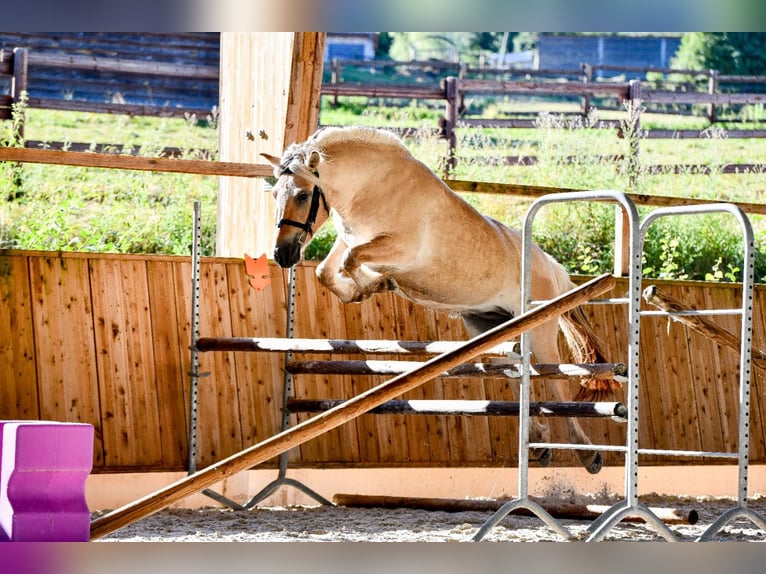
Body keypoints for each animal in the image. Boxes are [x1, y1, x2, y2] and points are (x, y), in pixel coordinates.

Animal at [262, 126, 619, 474]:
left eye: (303, 195)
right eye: (275, 194)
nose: (282, 255)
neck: (371, 187)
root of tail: (551, 266)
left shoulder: (396, 249)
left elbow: (352, 261)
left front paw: (378, 284)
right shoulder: (350, 240)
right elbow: (326, 270)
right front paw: (364, 289)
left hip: (540, 330)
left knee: (555, 380)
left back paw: (588, 454)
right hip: (491, 328)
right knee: (518, 375)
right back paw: (541, 443)